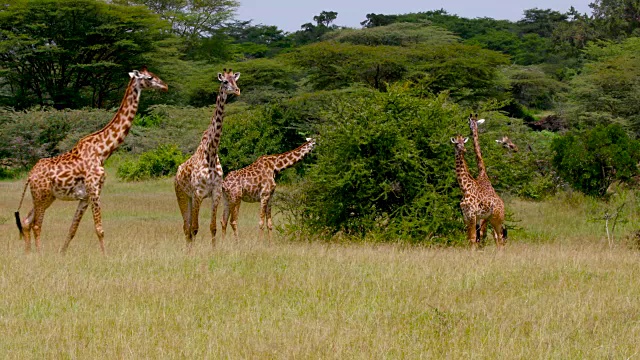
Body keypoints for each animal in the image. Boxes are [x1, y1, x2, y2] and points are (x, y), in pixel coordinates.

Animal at [14, 67, 168, 253]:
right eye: (150, 77)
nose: (165, 86)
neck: (102, 151)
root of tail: (30, 176)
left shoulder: (85, 196)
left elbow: (73, 229)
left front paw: (62, 253)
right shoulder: (94, 189)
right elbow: (99, 229)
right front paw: (106, 256)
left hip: (47, 196)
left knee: (26, 221)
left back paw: (28, 253)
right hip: (40, 194)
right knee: (37, 224)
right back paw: (39, 253)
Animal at [174, 68, 241, 250]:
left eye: (236, 80)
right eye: (224, 81)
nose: (237, 90)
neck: (210, 154)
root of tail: (176, 174)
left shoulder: (216, 193)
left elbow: (213, 227)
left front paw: (214, 250)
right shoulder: (198, 193)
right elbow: (195, 228)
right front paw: (193, 253)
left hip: (190, 198)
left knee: (187, 227)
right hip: (182, 195)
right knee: (186, 227)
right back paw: (188, 250)